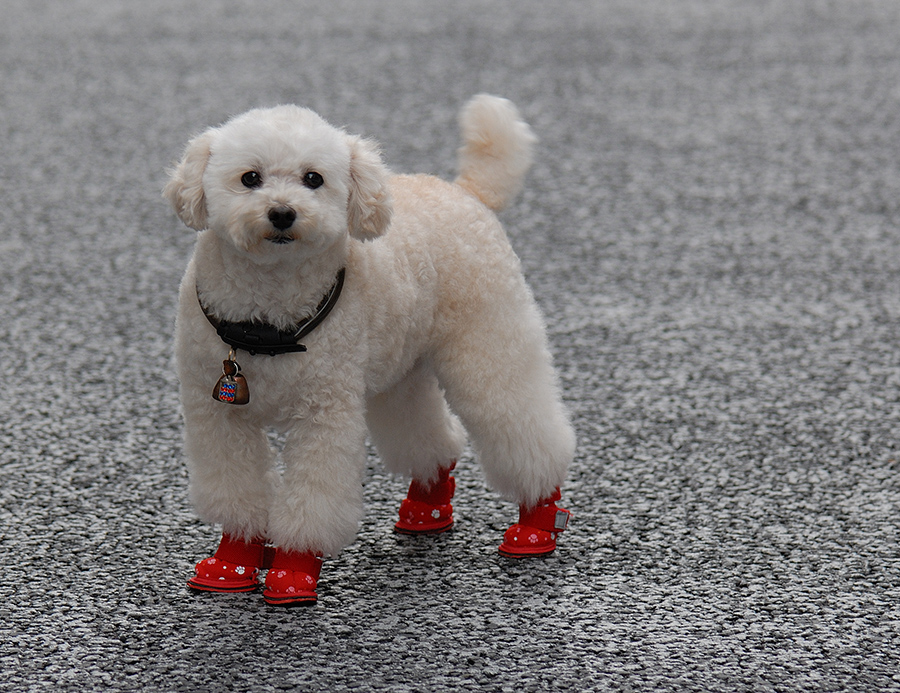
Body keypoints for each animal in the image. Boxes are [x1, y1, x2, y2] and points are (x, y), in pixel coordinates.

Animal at [164, 94, 572, 604]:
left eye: (313, 178)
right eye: (250, 178)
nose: (282, 213)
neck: (268, 314)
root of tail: (468, 192)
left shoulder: (324, 412)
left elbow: (316, 495)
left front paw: (294, 569)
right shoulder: (220, 415)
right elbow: (235, 489)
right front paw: (232, 562)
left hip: (488, 343)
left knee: (525, 426)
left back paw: (537, 522)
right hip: (402, 369)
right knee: (430, 434)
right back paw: (426, 508)